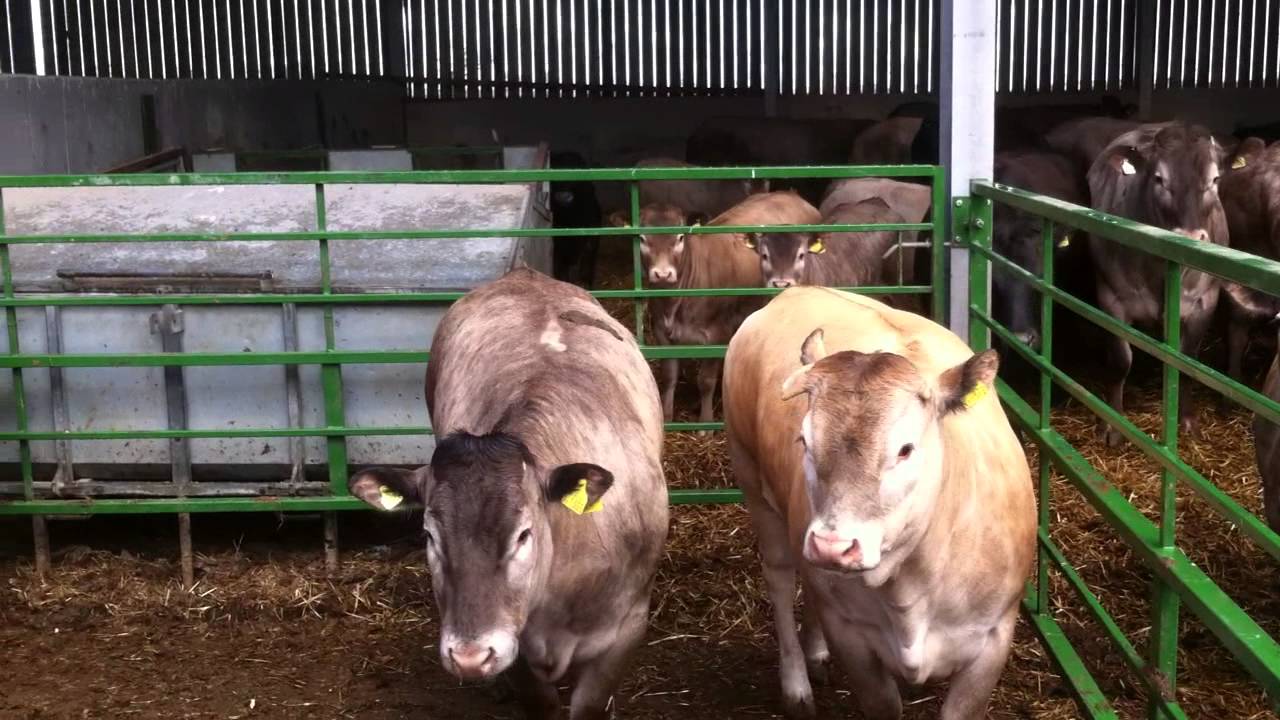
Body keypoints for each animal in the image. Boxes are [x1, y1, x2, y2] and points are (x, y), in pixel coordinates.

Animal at [345, 268, 669, 720]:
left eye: (523, 534)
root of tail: (524, 274)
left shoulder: (626, 629)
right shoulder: (515, 650)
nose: (469, 656)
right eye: (430, 536)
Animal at [724, 286, 1035, 720]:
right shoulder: (852, 635)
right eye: (804, 440)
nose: (832, 546)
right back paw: (797, 685)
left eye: (905, 449)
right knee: (782, 581)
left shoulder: (992, 639)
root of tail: (798, 289)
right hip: (753, 482)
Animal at [1084, 122, 1228, 446]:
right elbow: (1121, 361)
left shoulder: (1205, 302)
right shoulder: (1111, 298)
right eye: (1159, 178)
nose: (1190, 237)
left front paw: (1187, 420)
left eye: (1214, 179)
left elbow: (1187, 364)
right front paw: (1113, 424)